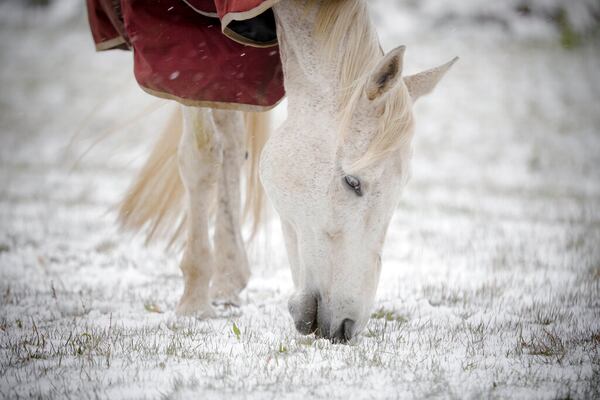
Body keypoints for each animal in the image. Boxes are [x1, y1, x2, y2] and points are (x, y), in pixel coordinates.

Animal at [116, 0, 454, 342]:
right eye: (352, 181)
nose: (348, 327)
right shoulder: (184, 55)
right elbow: (201, 155)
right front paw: (194, 302)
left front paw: (222, 281)